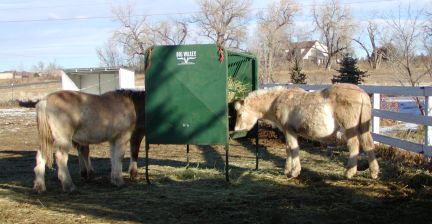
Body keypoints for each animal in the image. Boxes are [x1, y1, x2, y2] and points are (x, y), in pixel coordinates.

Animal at [235, 83, 380, 179]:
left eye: (240, 114)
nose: (236, 129)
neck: (278, 100)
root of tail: (362, 93)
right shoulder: (288, 132)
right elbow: (288, 149)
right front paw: (287, 170)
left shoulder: (289, 131)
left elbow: (293, 148)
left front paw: (294, 172)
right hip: (363, 127)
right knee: (368, 145)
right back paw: (373, 173)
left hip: (349, 128)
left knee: (354, 146)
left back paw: (349, 173)